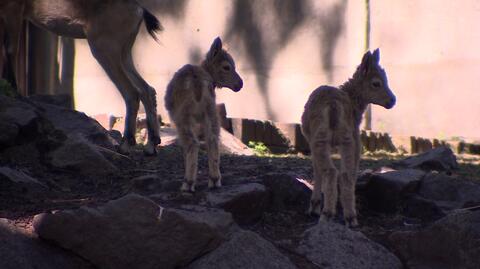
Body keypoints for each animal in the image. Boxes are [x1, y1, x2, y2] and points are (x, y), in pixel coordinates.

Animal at [164, 37, 242, 192]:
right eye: (226, 67)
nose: (240, 84)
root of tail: (198, 84)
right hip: (211, 111)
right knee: (212, 139)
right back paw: (214, 180)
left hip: (183, 117)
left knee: (192, 143)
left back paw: (188, 183)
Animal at [302, 48, 396, 226]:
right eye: (376, 83)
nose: (393, 101)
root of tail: (333, 106)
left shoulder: (310, 140)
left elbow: (316, 169)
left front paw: (314, 207)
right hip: (347, 137)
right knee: (345, 174)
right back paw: (351, 217)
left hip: (321, 138)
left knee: (331, 171)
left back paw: (327, 214)